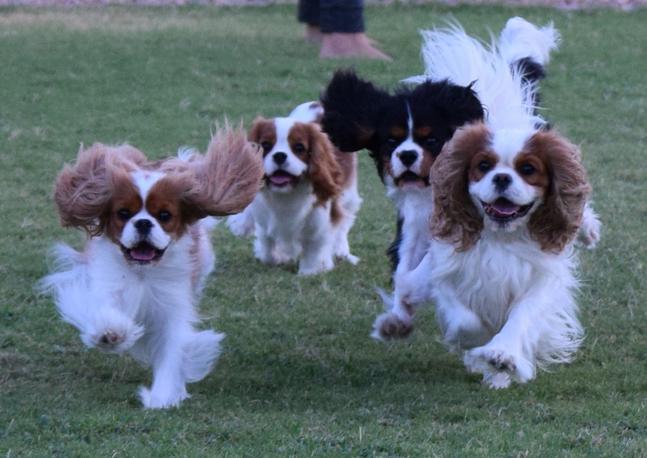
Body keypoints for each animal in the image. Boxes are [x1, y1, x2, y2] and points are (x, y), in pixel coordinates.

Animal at [39, 128, 264, 408]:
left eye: (164, 215)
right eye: (123, 213)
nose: (144, 223)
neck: (143, 271)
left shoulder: (173, 305)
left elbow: (172, 350)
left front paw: (162, 397)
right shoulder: (107, 284)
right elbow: (103, 311)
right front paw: (111, 333)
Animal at [228, 103, 362, 276]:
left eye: (299, 147)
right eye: (265, 145)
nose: (279, 155)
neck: (287, 194)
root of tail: (318, 104)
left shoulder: (320, 220)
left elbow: (314, 249)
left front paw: (310, 271)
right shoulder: (265, 222)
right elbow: (267, 249)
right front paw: (278, 257)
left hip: (349, 196)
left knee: (344, 223)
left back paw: (342, 252)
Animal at [392, 23, 600, 388]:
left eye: (528, 170)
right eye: (483, 166)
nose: (502, 178)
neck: (501, 234)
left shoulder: (542, 277)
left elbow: (522, 316)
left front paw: (502, 356)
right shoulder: (447, 266)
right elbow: (462, 314)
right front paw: (479, 344)